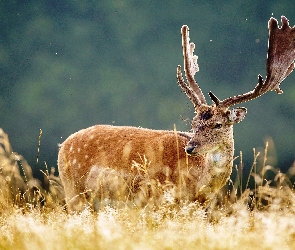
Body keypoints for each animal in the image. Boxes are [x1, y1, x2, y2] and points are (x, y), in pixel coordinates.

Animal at [57, 16, 295, 211]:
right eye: (194, 123)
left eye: (218, 124)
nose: (190, 148)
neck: (199, 185)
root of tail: (63, 146)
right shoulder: (159, 198)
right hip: (74, 192)